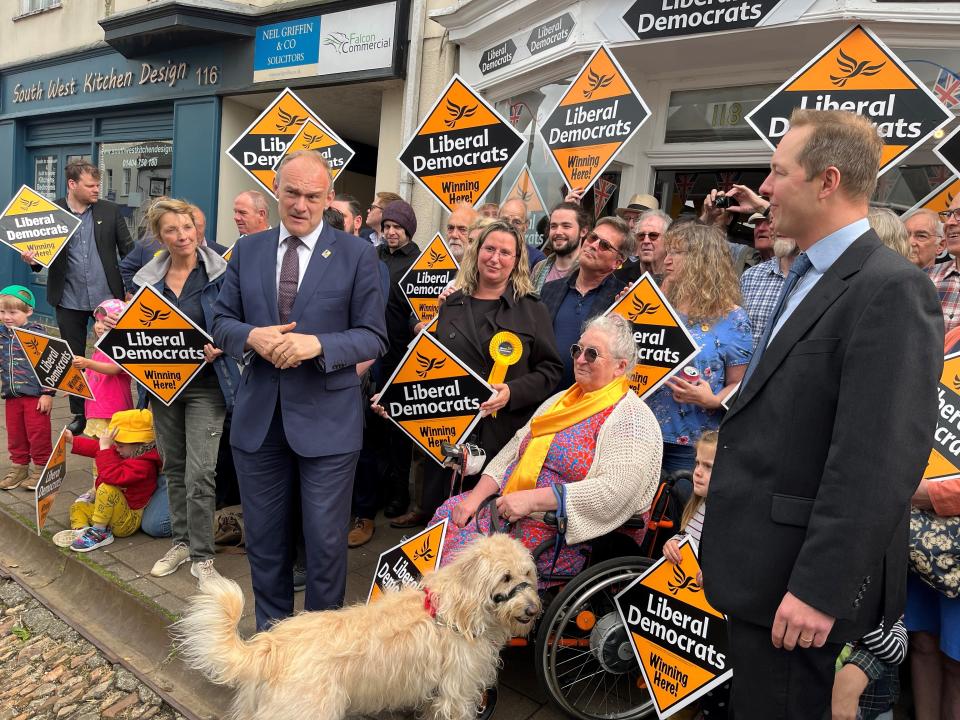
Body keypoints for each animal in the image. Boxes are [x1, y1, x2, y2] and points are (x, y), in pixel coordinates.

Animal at [172, 532, 540, 720]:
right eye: (505, 577)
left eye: (528, 573)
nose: (534, 609)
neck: (457, 607)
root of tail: (270, 646)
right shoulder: (457, 692)